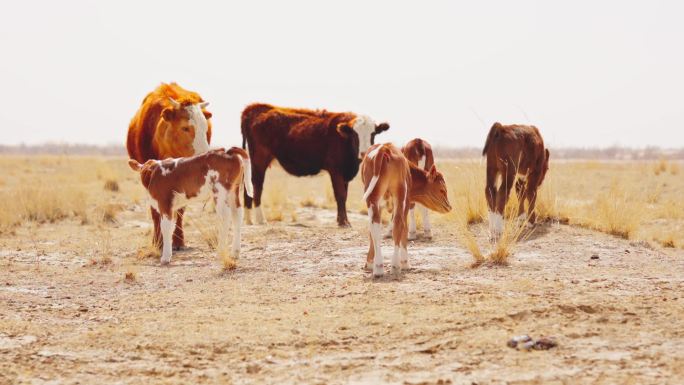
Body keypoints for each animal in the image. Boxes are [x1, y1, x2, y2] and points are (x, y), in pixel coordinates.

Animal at [127, 82, 212, 249]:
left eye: (205, 128)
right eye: (185, 128)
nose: (205, 155)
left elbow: (180, 210)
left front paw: (178, 240)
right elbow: (155, 211)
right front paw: (158, 242)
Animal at [240, 103, 390, 226]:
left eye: (373, 133)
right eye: (354, 134)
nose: (364, 152)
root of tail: (256, 108)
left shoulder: (345, 173)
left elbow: (345, 196)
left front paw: (343, 220)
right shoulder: (336, 170)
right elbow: (340, 195)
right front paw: (343, 222)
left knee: (248, 187)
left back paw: (248, 219)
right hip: (259, 160)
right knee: (257, 187)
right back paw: (260, 219)